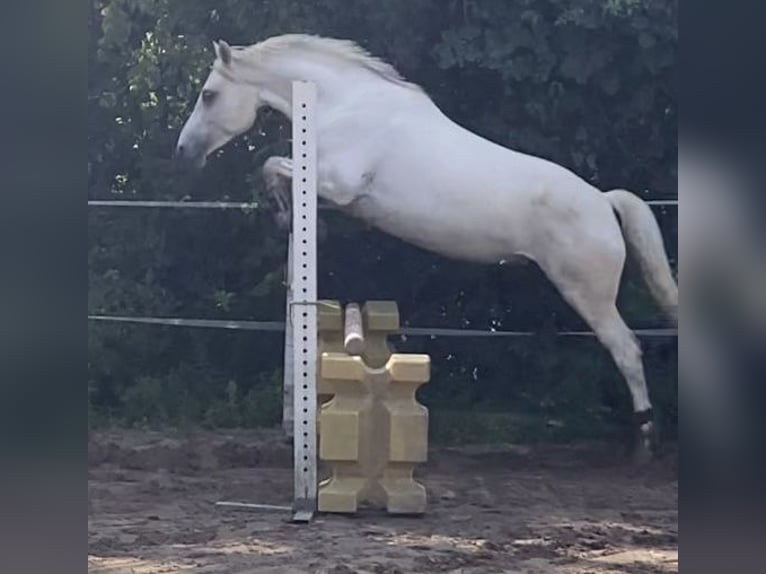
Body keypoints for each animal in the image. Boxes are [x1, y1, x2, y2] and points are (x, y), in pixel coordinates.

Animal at [177, 33, 680, 464]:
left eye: (209, 94)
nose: (183, 152)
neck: (345, 103)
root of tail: (604, 201)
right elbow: (279, 172)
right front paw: (296, 219)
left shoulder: (338, 183)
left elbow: (270, 164)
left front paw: (286, 214)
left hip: (588, 295)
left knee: (627, 349)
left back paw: (644, 443)